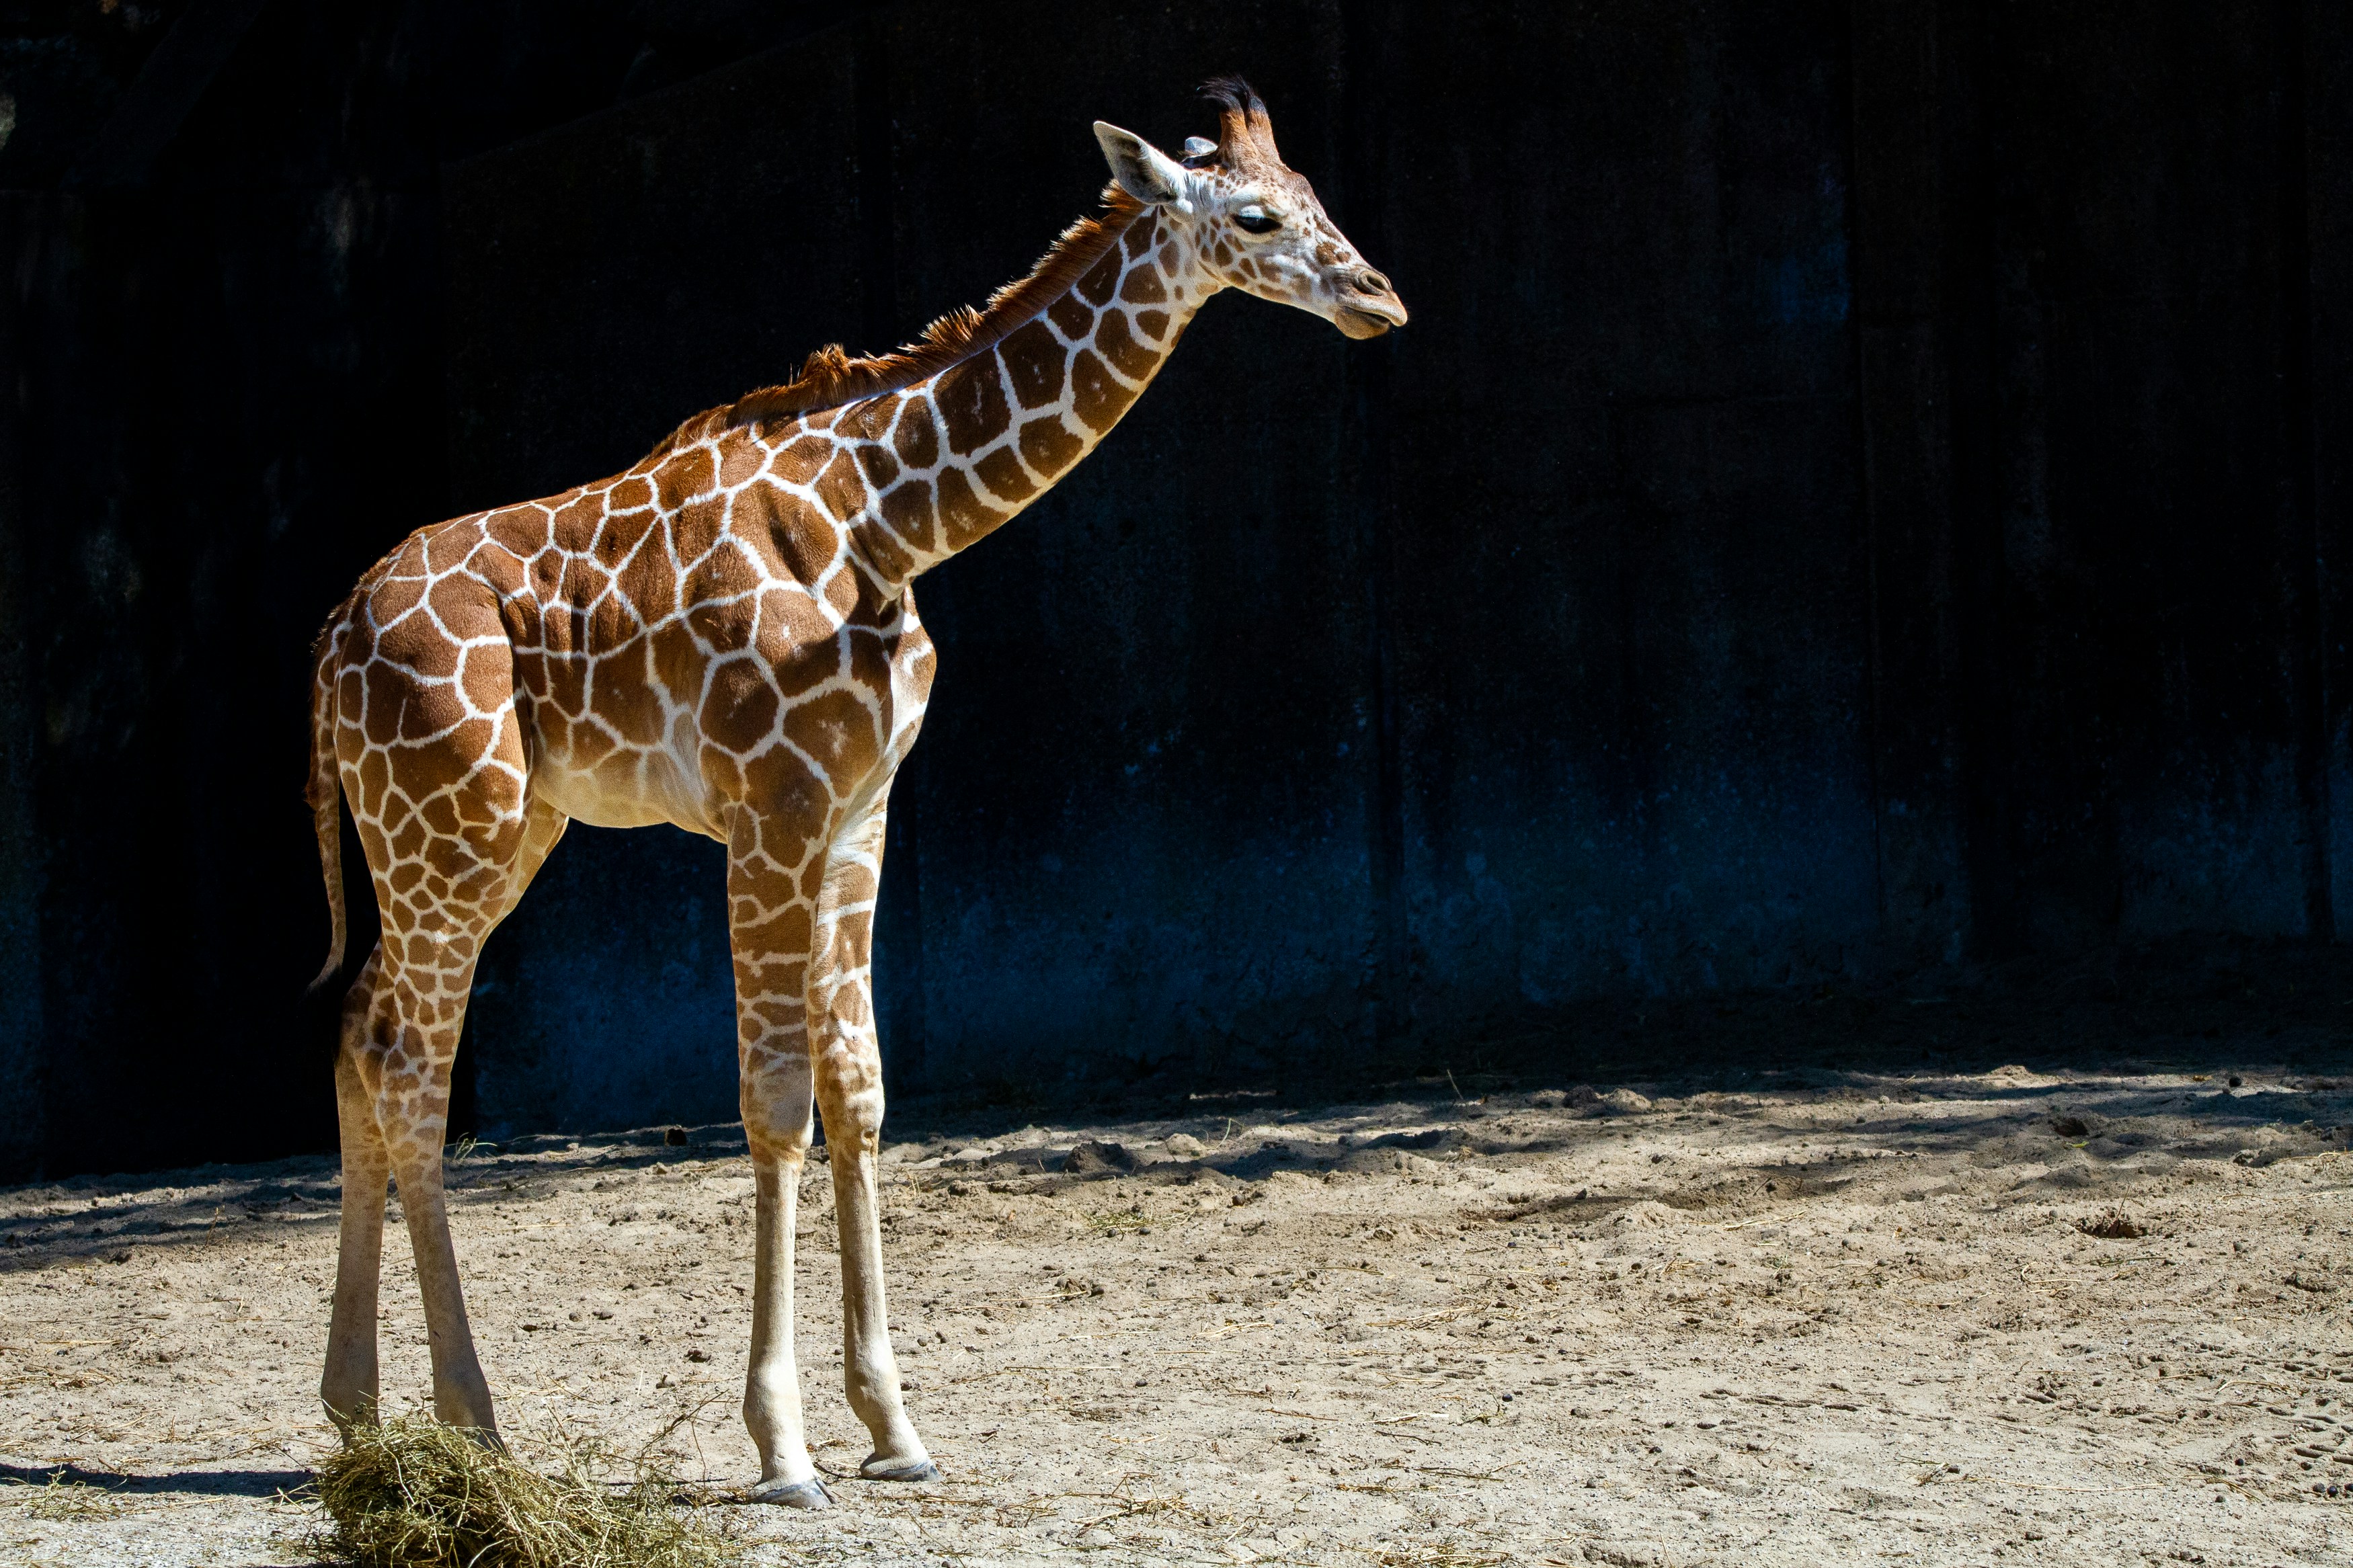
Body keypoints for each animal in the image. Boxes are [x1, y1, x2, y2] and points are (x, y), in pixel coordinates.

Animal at [304, 79, 1405, 1508]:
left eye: (1317, 192)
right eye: (1259, 216)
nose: (1381, 296)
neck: (889, 515)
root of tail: (332, 636)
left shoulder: (860, 808)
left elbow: (862, 1092)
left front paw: (894, 1425)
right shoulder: (766, 807)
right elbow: (775, 1102)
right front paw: (782, 1448)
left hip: (472, 835)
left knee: (361, 1036)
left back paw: (359, 1416)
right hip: (455, 828)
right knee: (410, 1067)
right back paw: (472, 1426)